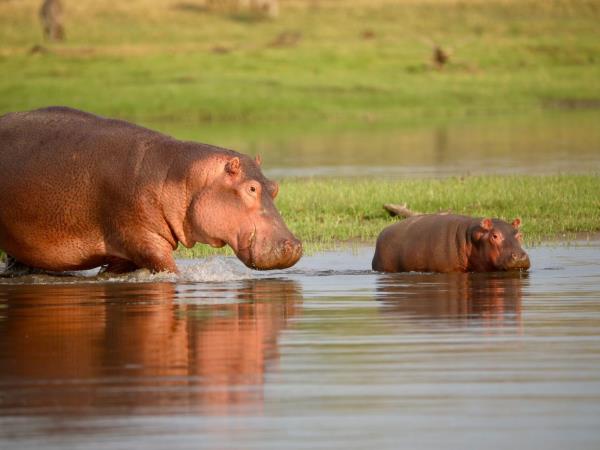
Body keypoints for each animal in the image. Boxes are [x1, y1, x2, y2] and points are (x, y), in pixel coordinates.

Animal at [0, 107, 302, 274]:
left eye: (274, 187)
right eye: (251, 188)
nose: (295, 245)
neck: (181, 177)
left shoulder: (124, 256)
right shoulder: (145, 241)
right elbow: (171, 271)